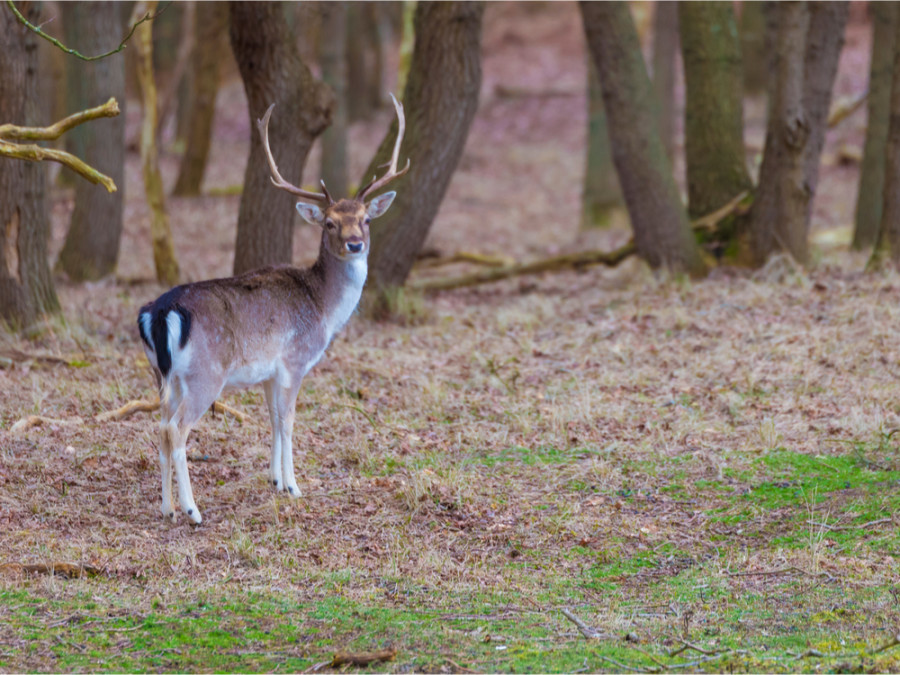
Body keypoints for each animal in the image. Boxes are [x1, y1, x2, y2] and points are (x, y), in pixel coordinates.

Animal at [138, 93, 412, 528]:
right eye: (330, 223)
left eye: (366, 219)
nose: (354, 243)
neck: (323, 309)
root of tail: (160, 312)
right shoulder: (295, 360)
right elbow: (288, 419)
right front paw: (295, 486)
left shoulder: (267, 372)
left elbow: (271, 417)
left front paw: (274, 479)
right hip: (205, 374)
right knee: (177, 430)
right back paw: (193, 510)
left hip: (164, 375)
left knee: (161, 425)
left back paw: (166, 507)